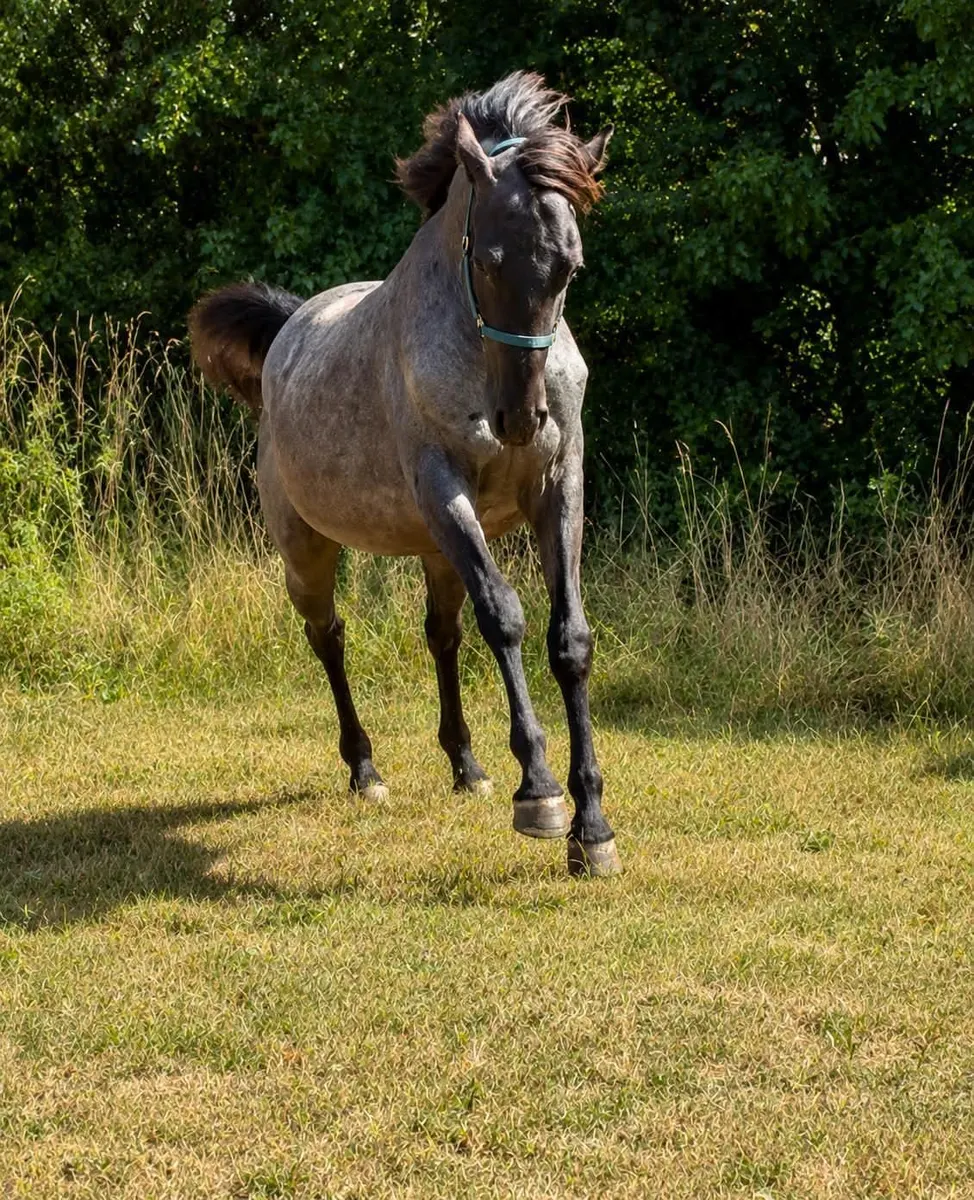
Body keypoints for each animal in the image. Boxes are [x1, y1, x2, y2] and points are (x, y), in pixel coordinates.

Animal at [189, 72, 620, 876]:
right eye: (488, 259)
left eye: (569, 267)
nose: (520, 419)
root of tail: (288, 330)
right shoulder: (444, 489)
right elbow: (504, 618)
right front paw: (541, 794)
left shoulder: (559, 486)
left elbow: (568, 639)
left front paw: (594, 827)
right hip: (308, 550)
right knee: (329, 636)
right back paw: (365, 770)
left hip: (436, 549)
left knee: (441, 635)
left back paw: (467, 765)